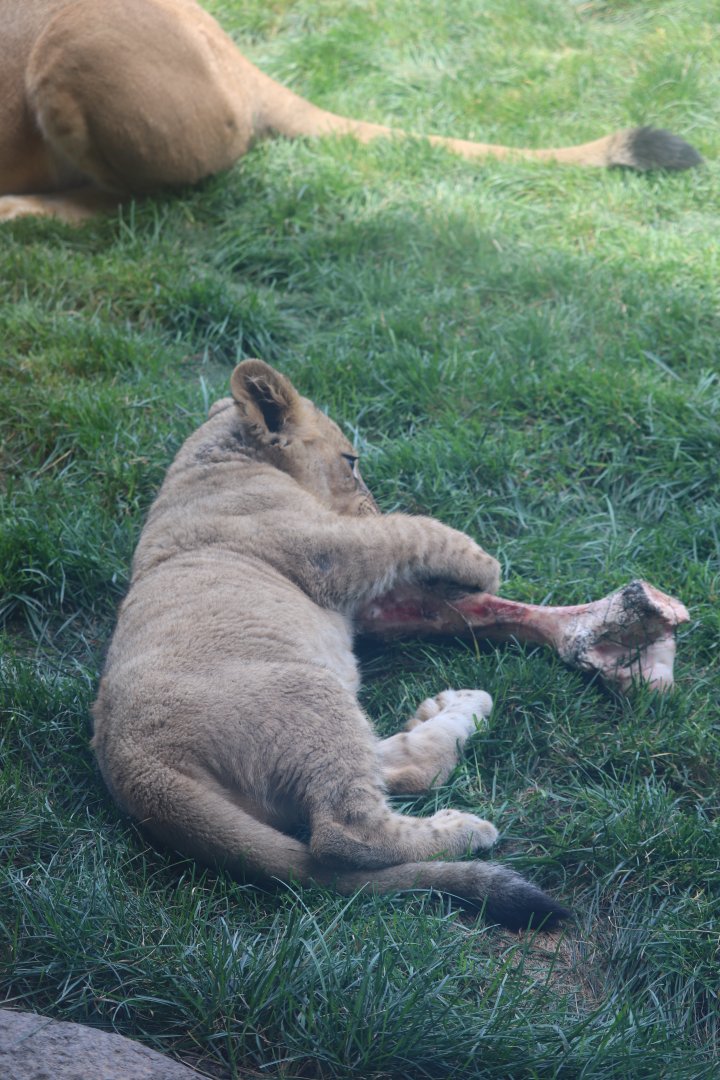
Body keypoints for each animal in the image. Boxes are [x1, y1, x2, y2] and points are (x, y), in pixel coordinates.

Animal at [91, 359, 570, 929]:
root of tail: (141, 773)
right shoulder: (326, 550)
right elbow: (410, 530)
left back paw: (455, 708)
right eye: (351, 460)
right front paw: (481, 562)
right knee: (348, 834)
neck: (212, 462)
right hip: (307, 688)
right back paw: (463, 827)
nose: (369, 506)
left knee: (396, 766)